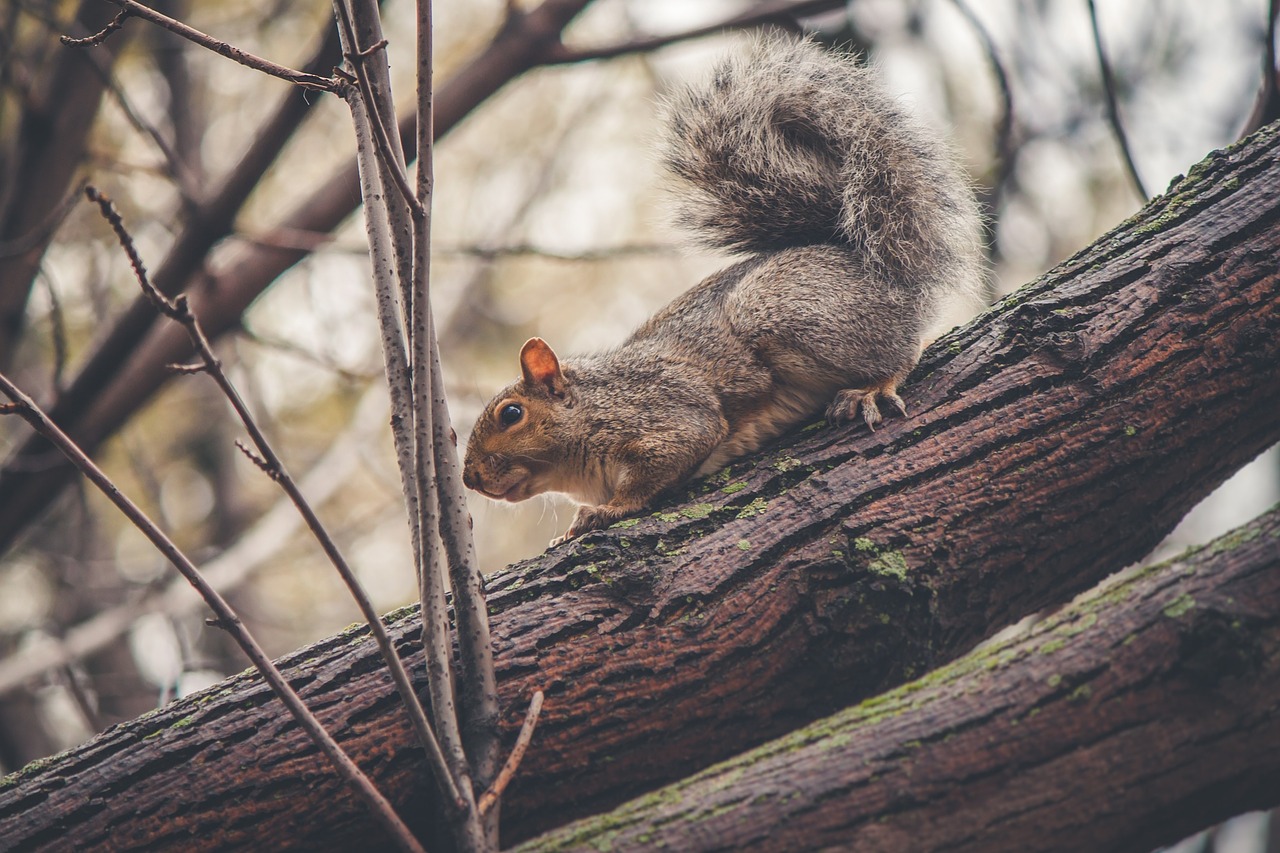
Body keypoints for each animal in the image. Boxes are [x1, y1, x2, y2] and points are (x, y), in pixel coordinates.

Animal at [465, 36, 983, 540]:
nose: (469, 478)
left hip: (784, 312)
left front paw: (606, 512)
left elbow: (665, 462)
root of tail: (867, 265)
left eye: (511, 414)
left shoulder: (666, 413)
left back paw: (874, 386)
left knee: (902, 351)